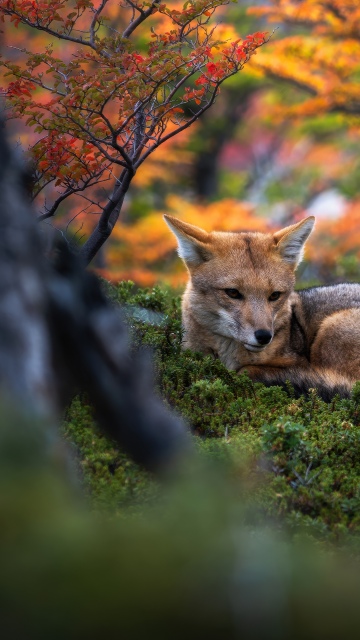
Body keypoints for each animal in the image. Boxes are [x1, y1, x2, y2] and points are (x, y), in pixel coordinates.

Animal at [164, 215, 360, 400]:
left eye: (274, 295)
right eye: (233, 293)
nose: (264, 336)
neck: (227, 357)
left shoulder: (297, 363)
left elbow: (248, 370)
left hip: (330, 329)